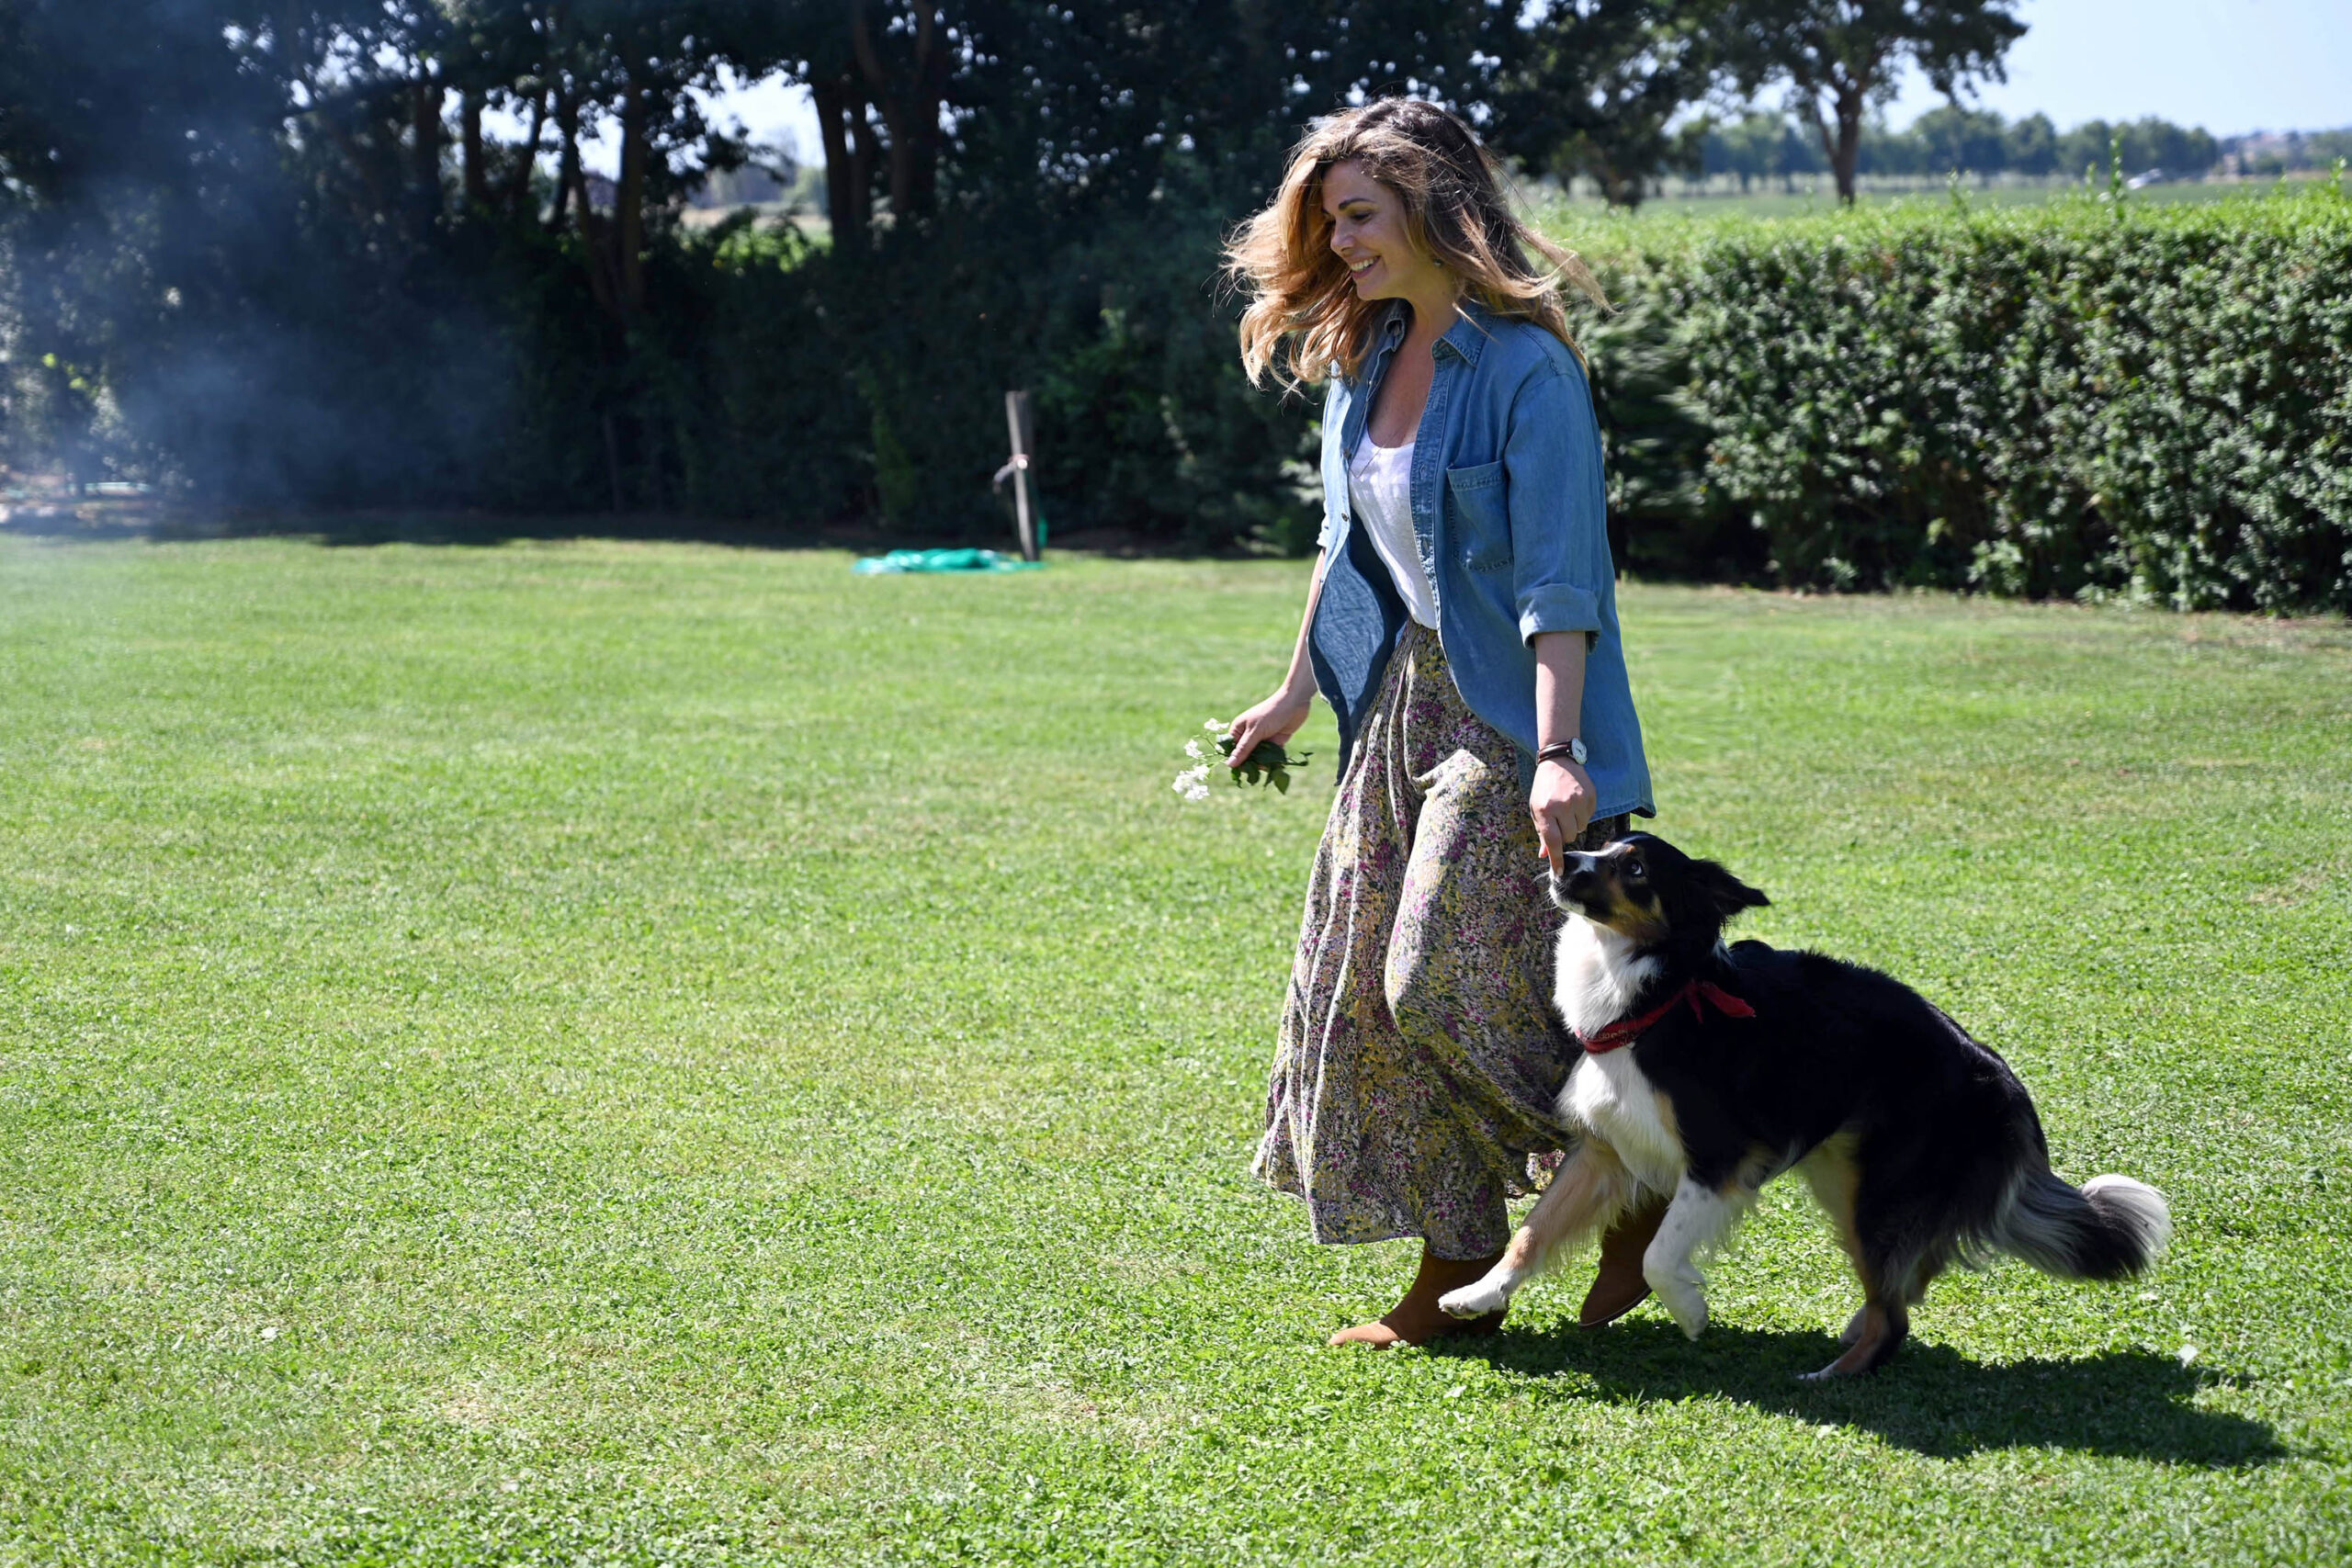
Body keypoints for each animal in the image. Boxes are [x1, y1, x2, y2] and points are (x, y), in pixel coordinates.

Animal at [1430, 831, 2164, 1372]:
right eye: (1601, 845)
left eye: (1633, 867)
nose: (1561, 859)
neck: (1655, 992)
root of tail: (1995, 1072)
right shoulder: (1603, 1148)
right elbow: (1532, 1230)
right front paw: (1477, 1292)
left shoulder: (1719, 1159)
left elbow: (1656, 1255)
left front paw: (1690, 1311)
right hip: (1845, 1179)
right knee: (1910, 1272)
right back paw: (1857, 1323)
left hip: (1878, 1191)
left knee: (1897, 1314)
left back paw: (1833, 1374)